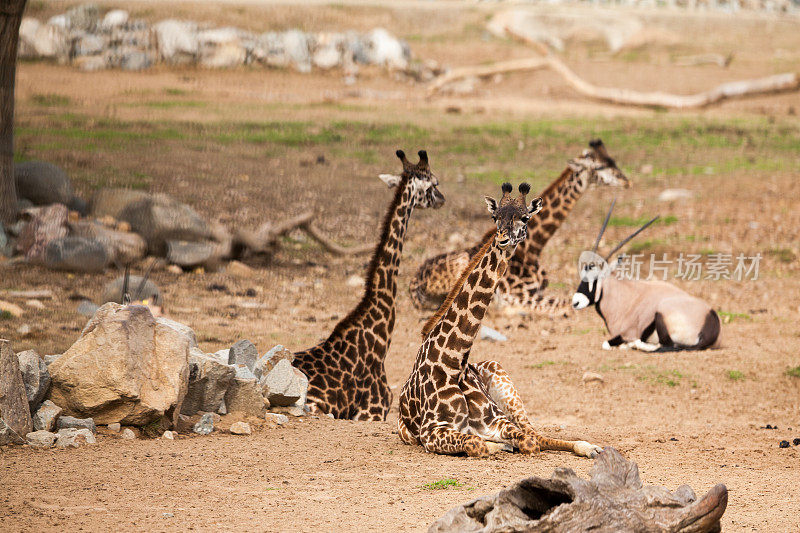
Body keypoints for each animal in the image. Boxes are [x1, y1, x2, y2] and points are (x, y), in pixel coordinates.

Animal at [400, 183, 600, 458]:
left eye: (525, 218)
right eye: (495, 217)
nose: (503, 239)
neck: (454, 359)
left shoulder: (496, 420)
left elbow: (528, 441)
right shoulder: (431, 431)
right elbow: (477, 443)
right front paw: (497, 445)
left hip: (505, 383)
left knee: (536, 433)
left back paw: (589, 447)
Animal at [412, 139, 632, 318]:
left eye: (613, 160)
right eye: (601, 166)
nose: (626, 181)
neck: (532, 249)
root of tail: (413, 286)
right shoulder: (520, 295)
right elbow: (565, 306)